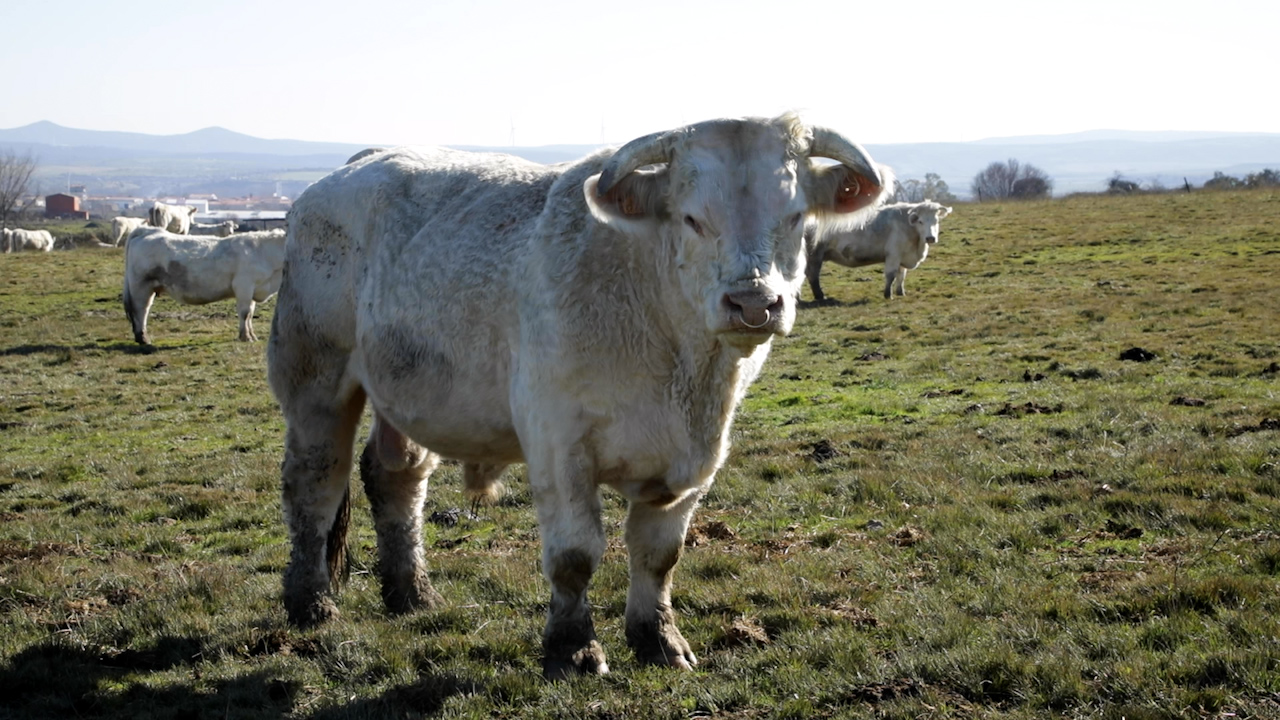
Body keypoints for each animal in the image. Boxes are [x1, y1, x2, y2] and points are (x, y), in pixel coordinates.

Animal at [123, 227, 287, 343]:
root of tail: (148, 230)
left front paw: (251, 335)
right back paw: (143, 338)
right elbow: (244, 313)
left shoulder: (252, 290)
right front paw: (245, 337)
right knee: (141, 310)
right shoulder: (244, 286)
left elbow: (250, 314)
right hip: (140, 286)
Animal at [266, 114, 889, 678]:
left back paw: (413, 594)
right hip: (316, 378)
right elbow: (575, 554)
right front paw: (573, 649)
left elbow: (659, 554)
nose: (753, 302)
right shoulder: (557, 442)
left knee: (396, 476)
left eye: (794, 216)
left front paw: (659, 640)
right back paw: (311, 604)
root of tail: (361, 162)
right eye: (691, 218)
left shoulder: (699, 454)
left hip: (403, 386)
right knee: (315, 483)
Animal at [805, 200, 952, 301]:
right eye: (920, 221)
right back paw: (820, 296)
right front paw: (888, 295)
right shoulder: (893, 255)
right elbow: (891, 275)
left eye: (936, 221)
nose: (930, 238)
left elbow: (901, 276)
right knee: (813, 275)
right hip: (815, 255)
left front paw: (901, 292)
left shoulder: (903, 256)